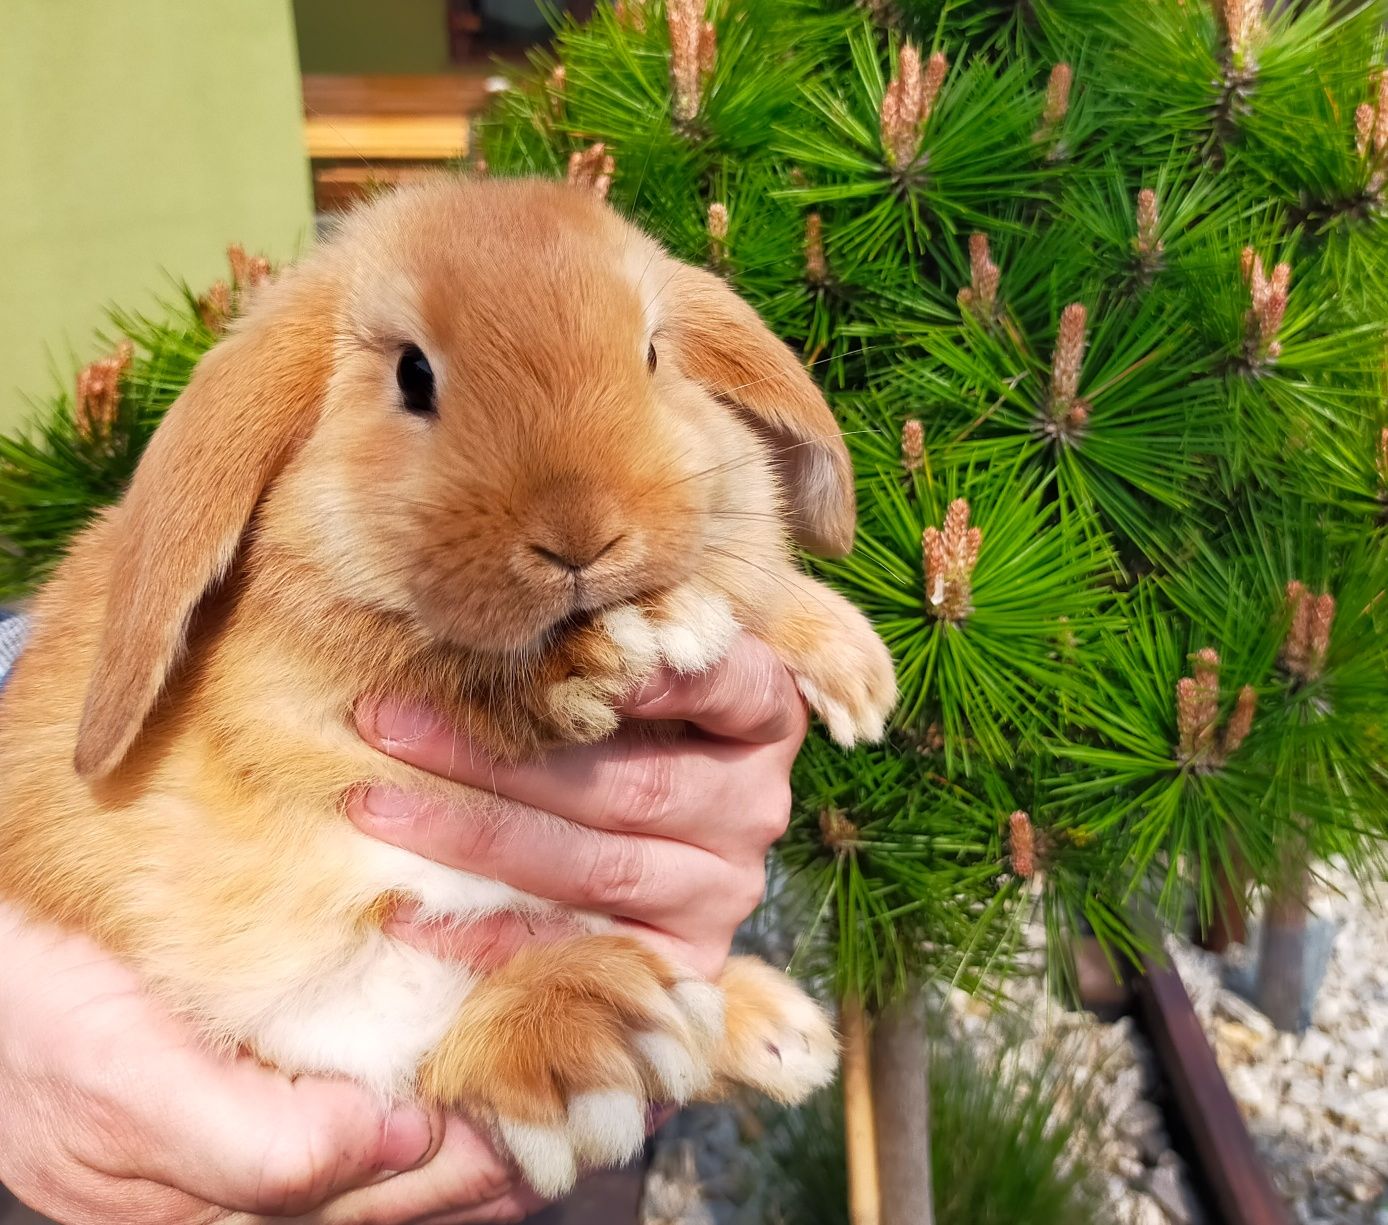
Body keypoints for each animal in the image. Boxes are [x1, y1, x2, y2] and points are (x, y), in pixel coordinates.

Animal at [0, 174, 888, 1198]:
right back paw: (612, 1036)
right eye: (412, 375)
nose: (581, 534)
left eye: (652, 352)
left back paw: (777, 1033)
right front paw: (632, 642)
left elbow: (751, 576)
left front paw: (856, 674)